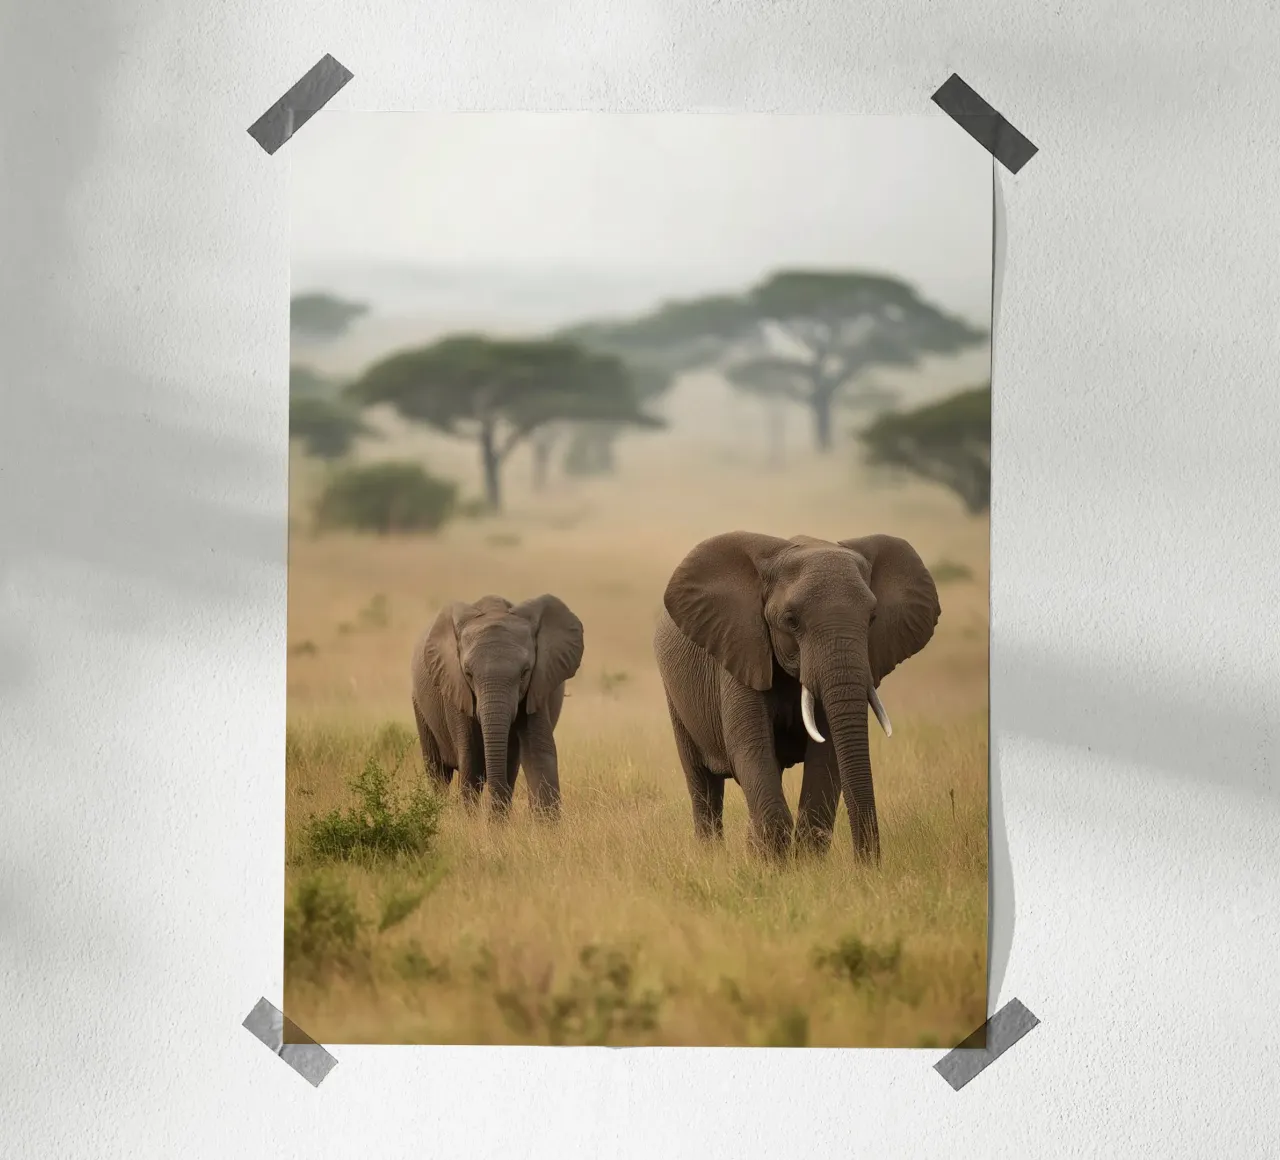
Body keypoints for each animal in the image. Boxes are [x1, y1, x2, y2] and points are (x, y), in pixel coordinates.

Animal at [411, 593, 585, 819]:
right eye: (468, 674)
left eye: (524, 673)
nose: (492, 820)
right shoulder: (456, 687)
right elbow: (471, 759)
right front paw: (472, 823)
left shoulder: (538, 686)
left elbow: (537, 753)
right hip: (419, 705)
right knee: (438, 772)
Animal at [652, 531, 940, 863]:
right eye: (791, 620)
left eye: (872, 618)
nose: (867, 866)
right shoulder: (742, 650)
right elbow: (750, 750)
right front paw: (776, 866)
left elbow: (826, 756)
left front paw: (803, 866)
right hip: (675, 694)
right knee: (703, 784)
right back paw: (710, 856)